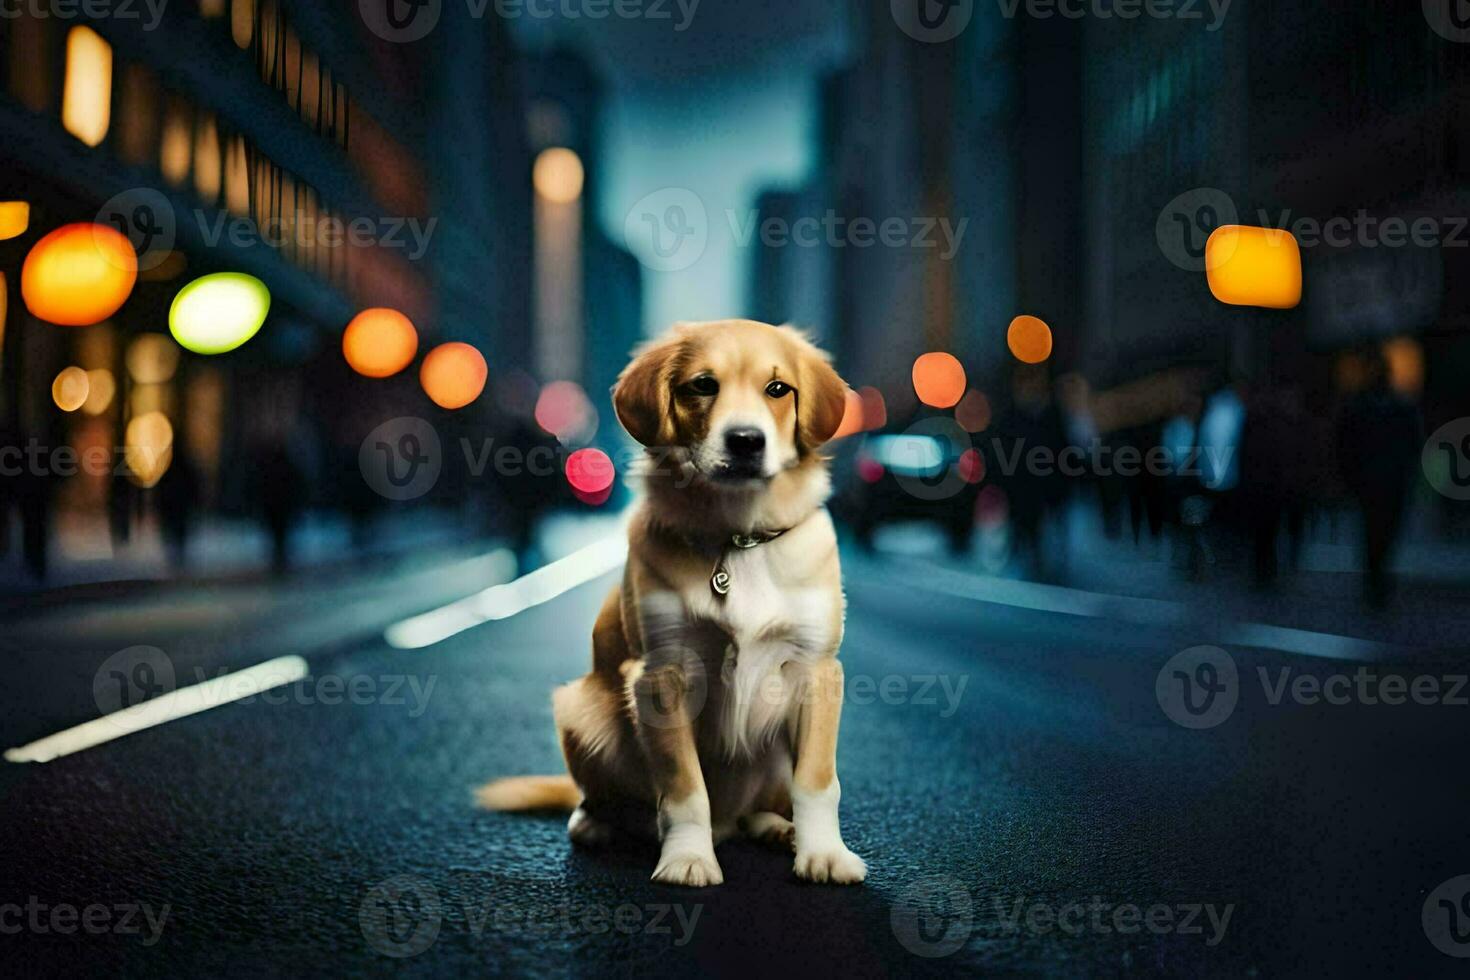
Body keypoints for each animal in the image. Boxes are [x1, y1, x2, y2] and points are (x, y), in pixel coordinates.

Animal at [476, 320, 864, 887]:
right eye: (703, 385)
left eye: (778, 389)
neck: (736, 538)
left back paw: (777, 828)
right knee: (608, 801)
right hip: (582, 711)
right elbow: (684, 791)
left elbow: (817, 782)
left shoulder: (817, 670)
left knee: (757, 810)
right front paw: (688, 860)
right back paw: (599, 825)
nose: (746, 441)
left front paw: (825, 854)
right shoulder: (662, 674)